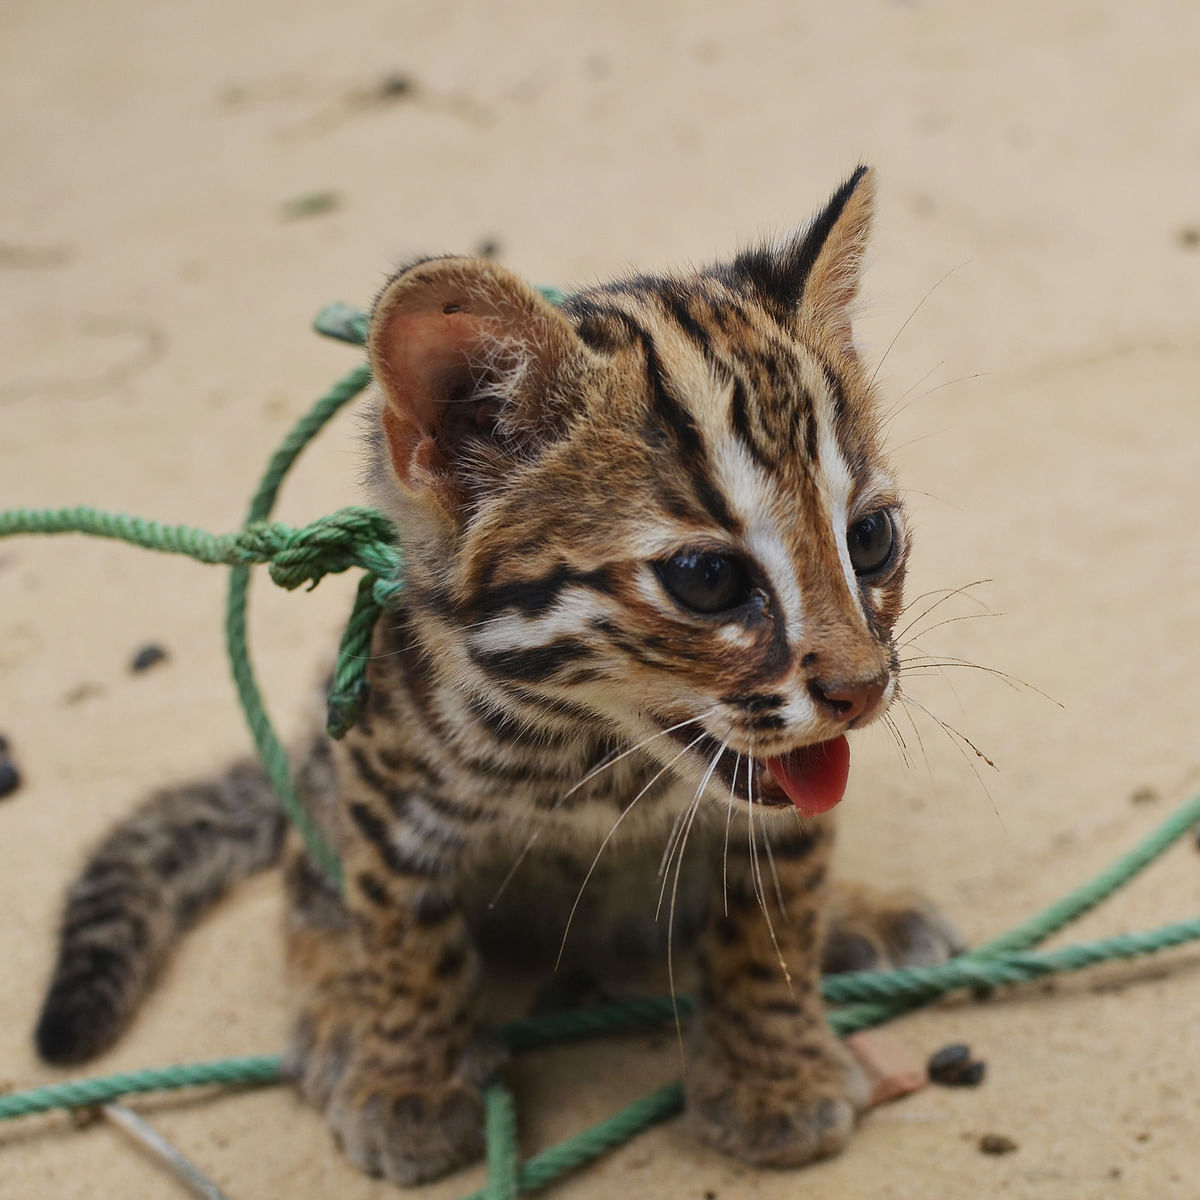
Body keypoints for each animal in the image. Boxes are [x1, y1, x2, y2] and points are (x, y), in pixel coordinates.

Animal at [32, 166, 960, 1180]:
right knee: (307, 889)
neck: (595, 756)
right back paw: (341, 1006)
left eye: (869, 540)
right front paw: (409, 1080)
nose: (862, 689)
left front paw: (773, 1069)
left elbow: (773, 905)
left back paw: (861, 918)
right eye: (707, 579)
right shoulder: (382, 777)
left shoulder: (777, 799)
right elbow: (402, 930)